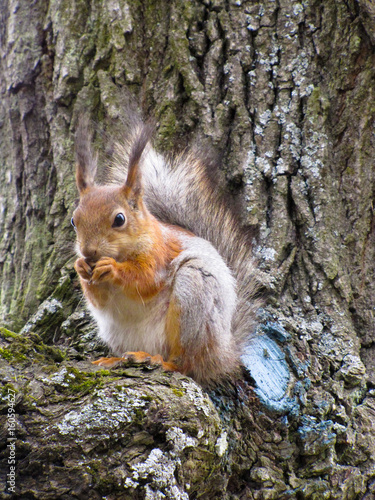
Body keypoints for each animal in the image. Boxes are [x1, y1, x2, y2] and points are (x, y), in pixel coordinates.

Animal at [72, 115, 260, 384]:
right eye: (74, 220)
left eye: (119, 219)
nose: (88, 252)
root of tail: (223, 354)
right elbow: (98, 299)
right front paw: (80, 268)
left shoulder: (159, 254)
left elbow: (145, 279)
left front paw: (113, 269)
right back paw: (118, 358)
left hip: (193, 296)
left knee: (187, 363)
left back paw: (160, 361)